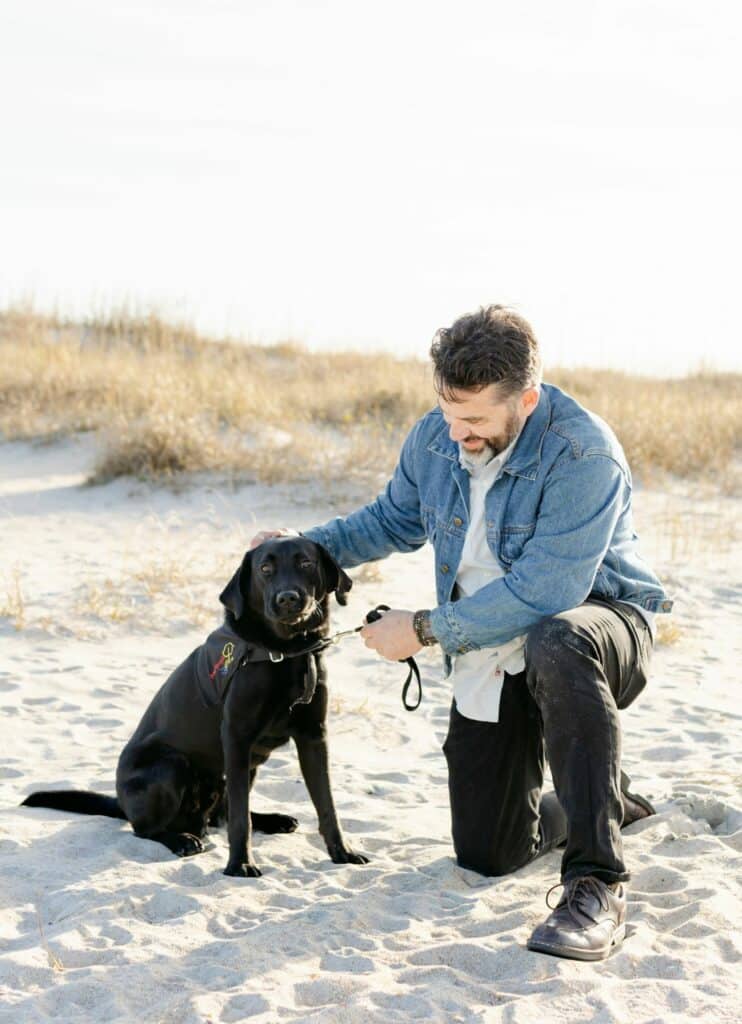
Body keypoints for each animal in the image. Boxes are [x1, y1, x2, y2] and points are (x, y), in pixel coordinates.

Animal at [21, 536, 368, 880]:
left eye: (306, 562)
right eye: (265, 569)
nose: (287, 599)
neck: (287, 652)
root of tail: (121, 801)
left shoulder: (313, 737)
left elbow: (326, 804)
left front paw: (342, 852)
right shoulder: (237, 738)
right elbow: (240, 819)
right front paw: (239, 864)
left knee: (222, 814)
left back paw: (271, 819)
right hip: (171, 764)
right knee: (146, 829)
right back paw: (181, 839)